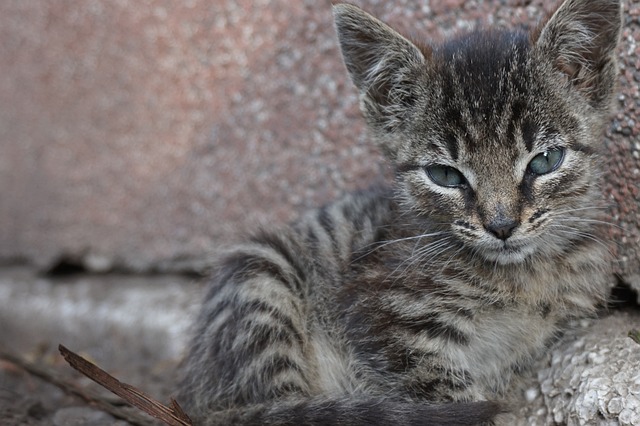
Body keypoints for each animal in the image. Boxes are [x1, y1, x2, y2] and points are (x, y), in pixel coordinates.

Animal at [178, 1, 624, 424]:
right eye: (445, 174)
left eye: (545, 160)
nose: (501, 225)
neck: (522, 277)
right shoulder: (384, 316)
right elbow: (444, 390)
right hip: (261, 275)